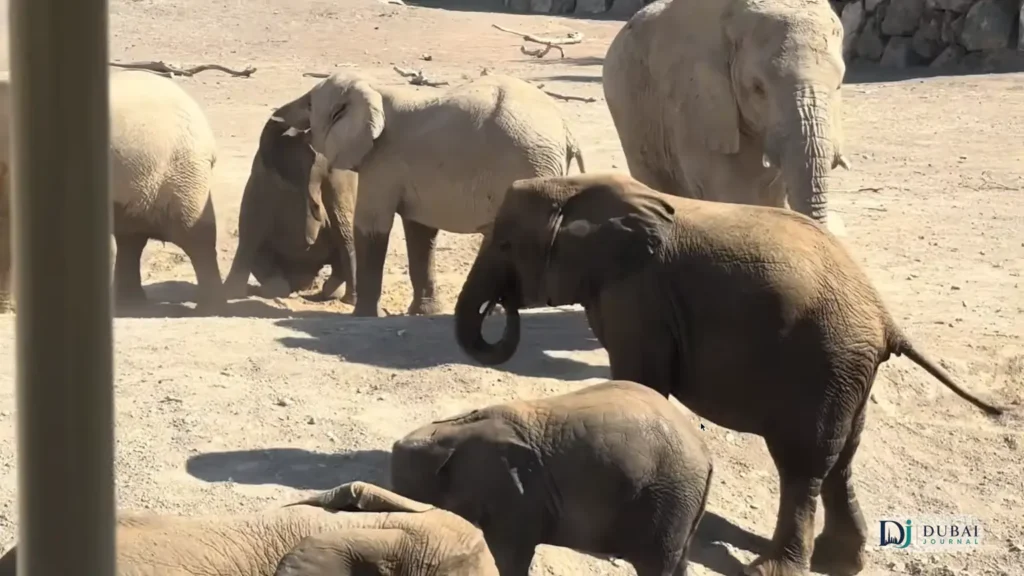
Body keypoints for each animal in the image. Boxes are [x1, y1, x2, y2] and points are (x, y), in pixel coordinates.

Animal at [223, 99, 358, 303]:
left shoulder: (338, 177)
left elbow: (346, 230)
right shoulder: (262, 177)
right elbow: (251, 227)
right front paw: (228, 295)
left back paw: (333, 292)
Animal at [273, 70, 586, 317]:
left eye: (310, 103)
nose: (276, 116)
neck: (375, 89)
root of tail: (567, 132)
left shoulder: (382, 163)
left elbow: (372, 227)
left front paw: (363, 317)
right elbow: (420, 232)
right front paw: (424, 313)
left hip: (528, 165)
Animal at [390, 379, 713, 576]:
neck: (454, 429)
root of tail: (704, 452)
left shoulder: (514, 496)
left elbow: (510, 554)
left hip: (669, 498)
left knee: (656, 564)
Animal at [451, 172, 1007, 576]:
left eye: (503, 244)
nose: (501, 307)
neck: (576, 187)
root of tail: (884, 315)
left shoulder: (639, 298)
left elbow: (640, 379)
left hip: (825, 363)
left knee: (803, 464)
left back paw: (772, 569)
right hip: (851, 372)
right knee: (842, 457)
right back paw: (840, 562)